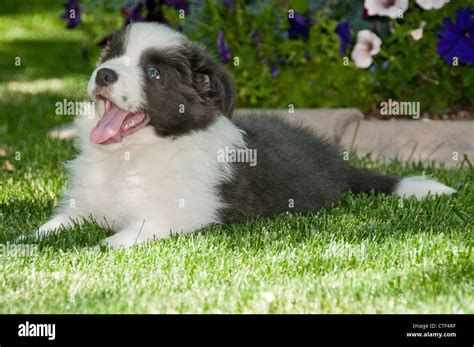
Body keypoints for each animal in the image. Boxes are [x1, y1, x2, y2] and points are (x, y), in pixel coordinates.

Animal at [38, 23, 456, 249]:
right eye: (111, 54)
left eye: (153, 74)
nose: (104, 74)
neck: (131, 158)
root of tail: (335, 161)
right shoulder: (86, 204)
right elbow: (54, 225)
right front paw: (35, 238)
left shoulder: (185, 212)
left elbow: (128, 234)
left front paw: (100, 246)